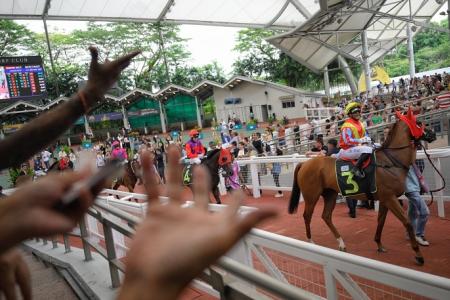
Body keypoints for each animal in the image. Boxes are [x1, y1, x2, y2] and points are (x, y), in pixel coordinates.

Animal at [288, 108, 428, 264]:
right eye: (418, 122)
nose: (433, 133)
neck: (390, 161)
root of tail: (304, 163)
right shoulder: (390, 198)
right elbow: (407, 222)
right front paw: (418, 255)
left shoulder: (385, 199)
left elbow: (381, 221)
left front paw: (379, 244)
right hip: (311, 196)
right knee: (307, 215)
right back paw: (311, 241)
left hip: (330, 194)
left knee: (326, 216)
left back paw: (341, 243)